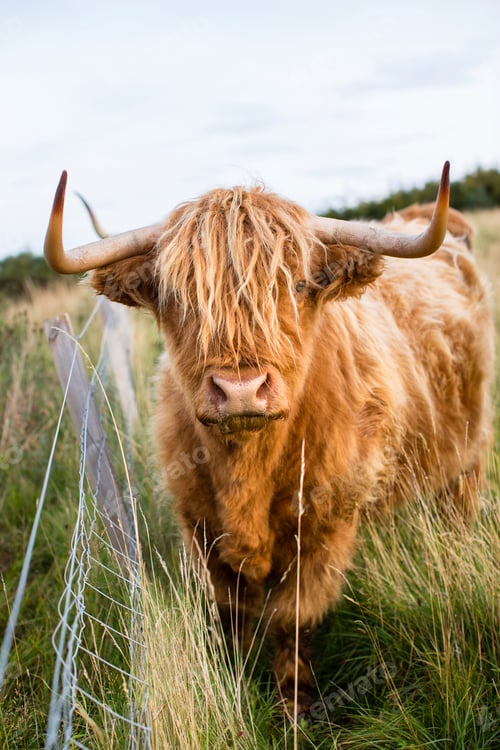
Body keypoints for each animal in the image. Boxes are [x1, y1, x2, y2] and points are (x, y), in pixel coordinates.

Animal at [44, 163, 494, 713]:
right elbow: (231, 615)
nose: (240, 390)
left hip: (469, 449)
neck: (248, 472)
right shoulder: (200, 526)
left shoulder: (326, 525)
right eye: (177, 297)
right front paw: (233, 683)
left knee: (459, 503)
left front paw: (293, 702)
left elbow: (291, 618)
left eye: (298, 284)